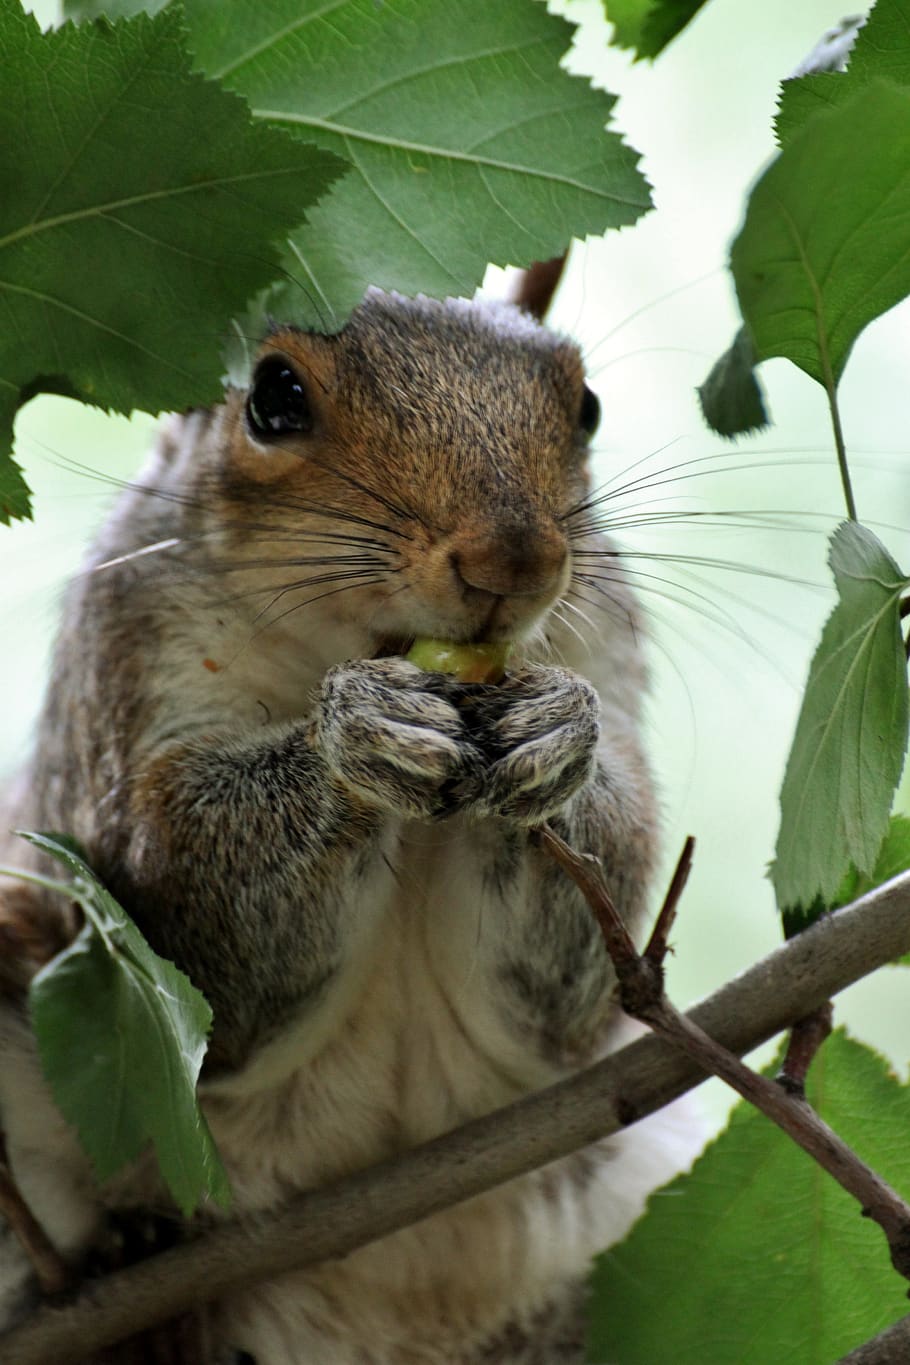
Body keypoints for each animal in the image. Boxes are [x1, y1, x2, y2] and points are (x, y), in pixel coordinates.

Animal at [0, 290, 697, 1363]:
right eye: (274, 398)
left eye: (585, 408)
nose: (515, 559)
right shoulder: (123, 667)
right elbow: (192, 909)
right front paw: (355, 736)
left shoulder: (602, 647)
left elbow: (577, 963)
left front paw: (557, 739)